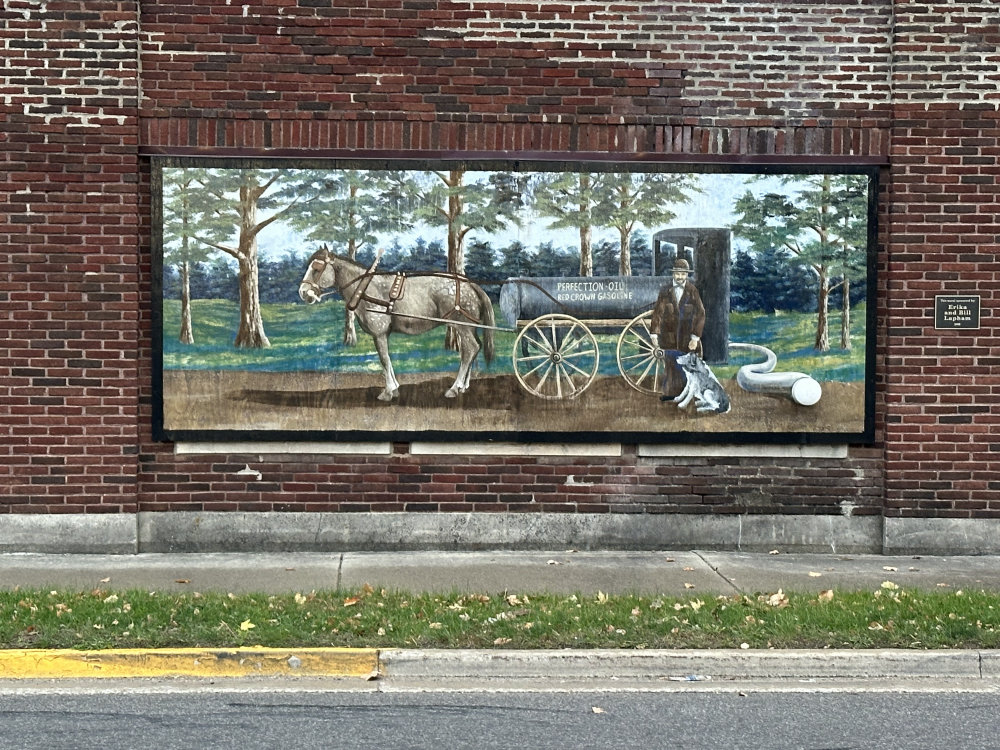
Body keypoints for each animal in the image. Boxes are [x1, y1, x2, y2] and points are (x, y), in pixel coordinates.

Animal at [298, 245, 498, 400]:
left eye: (317, 268)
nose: (303, 292)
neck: (366, 289)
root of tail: (470, 284)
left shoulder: (379, 333)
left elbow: (384, 359)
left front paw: (388, 391)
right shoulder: (384, 334)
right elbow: (386, 359)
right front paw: (394, 387)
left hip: (462, 325)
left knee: (470, 349)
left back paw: (455, 388)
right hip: (468, 327)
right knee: (471, 349)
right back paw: (463, 386)